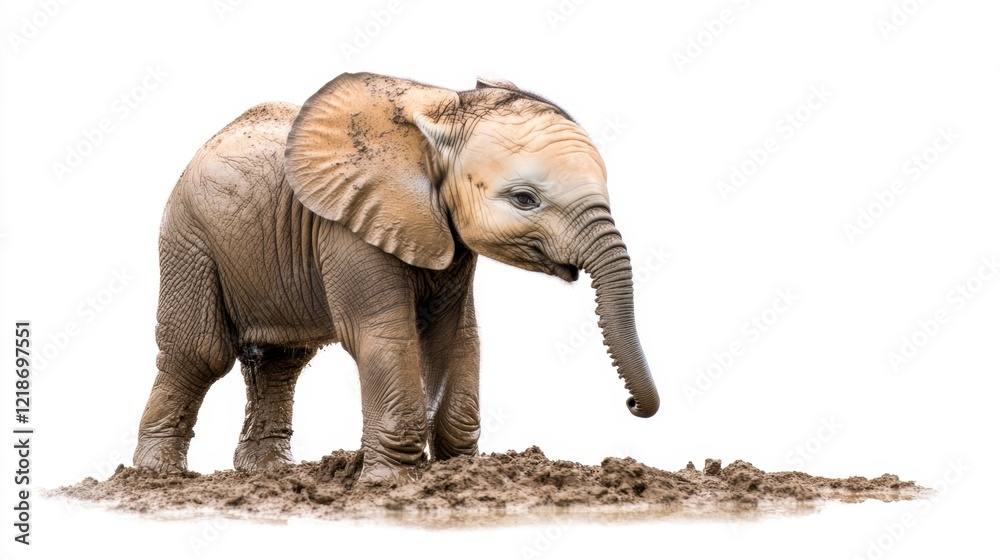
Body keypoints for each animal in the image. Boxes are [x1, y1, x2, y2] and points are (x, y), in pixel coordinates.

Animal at [132, 72, 659, 483]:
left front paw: (458, 473)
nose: (633, 406)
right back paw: (155, 476)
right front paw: (388, 483)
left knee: (281, 359)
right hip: (188, 236)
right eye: (525, 199)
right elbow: (384, 332)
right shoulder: (347, 223)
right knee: (200, 352)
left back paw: (268, 473)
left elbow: (455, 335)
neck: (443, 113)